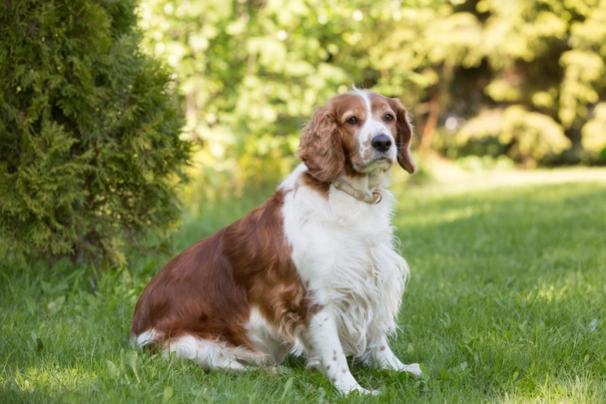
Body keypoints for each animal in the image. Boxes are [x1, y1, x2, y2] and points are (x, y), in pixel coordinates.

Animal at [129, 89, 422, 394]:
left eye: (388, 117)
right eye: (352, 120)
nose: (382, 142)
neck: (349, 196)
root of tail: (135, 328)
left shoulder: (372, 279)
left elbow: (378, 339)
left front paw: (398, 369)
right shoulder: (319, 298)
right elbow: (334, 355)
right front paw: (353, 391)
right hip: (193, 347)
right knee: (244, 368)